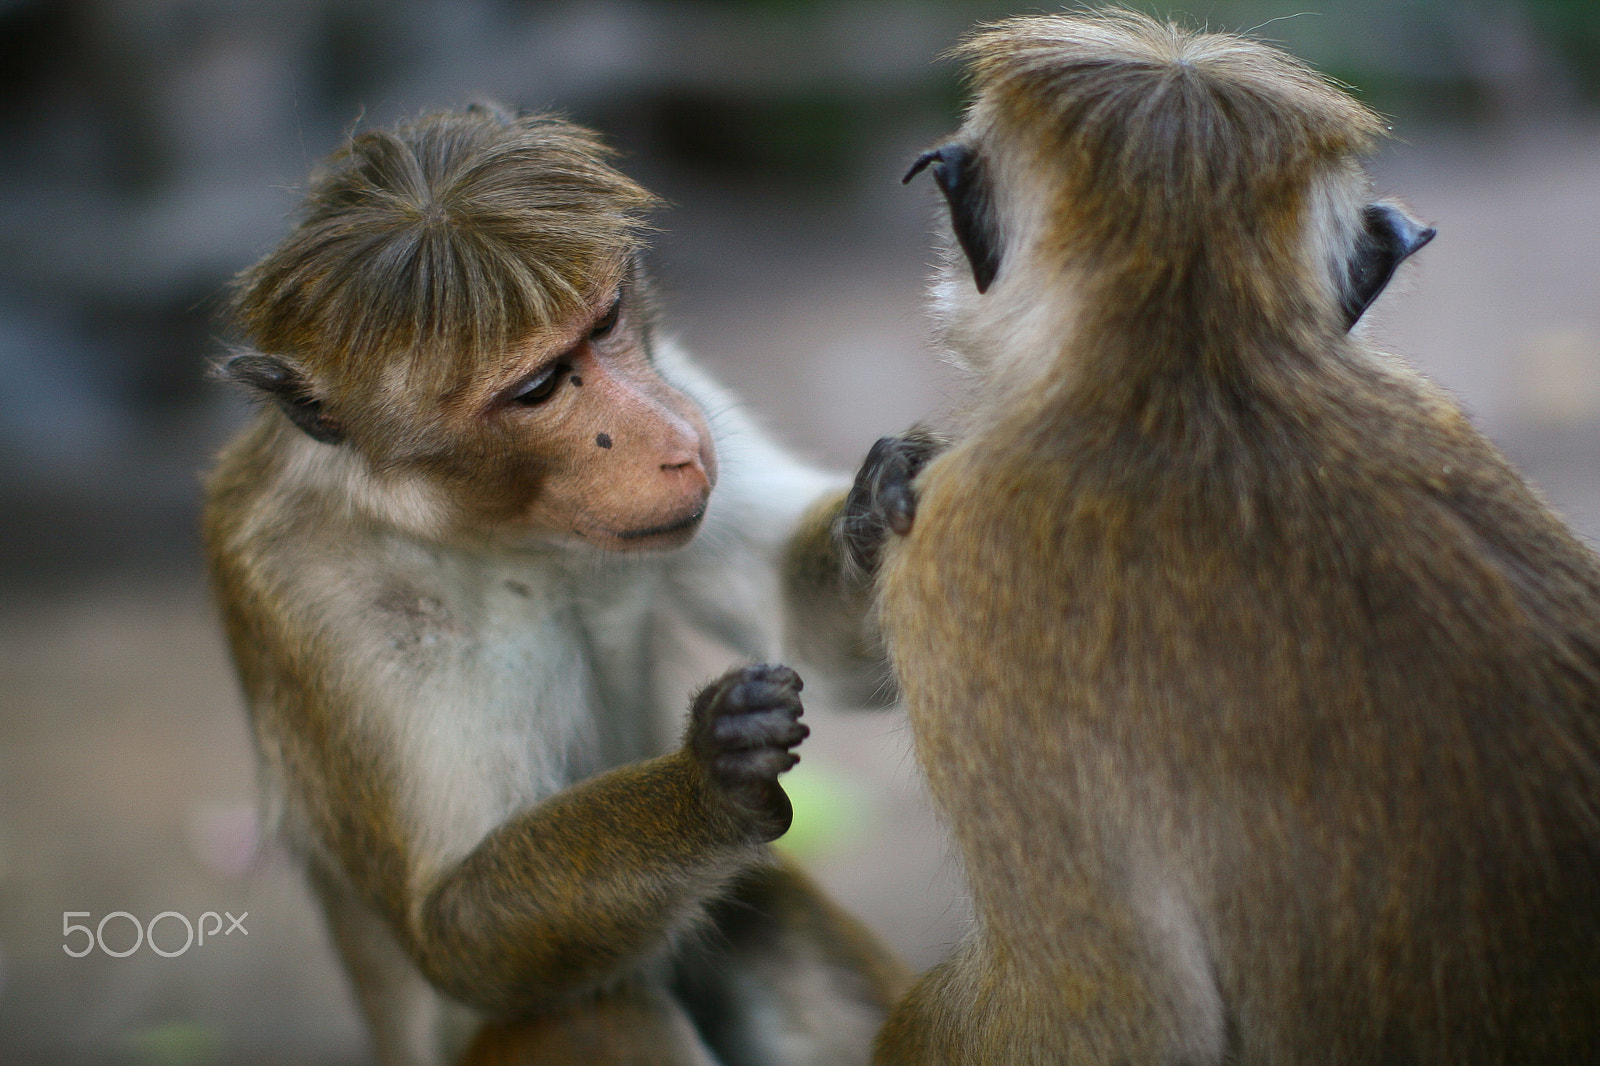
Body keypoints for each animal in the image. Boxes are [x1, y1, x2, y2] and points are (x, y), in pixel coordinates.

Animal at [201, 105, 908, 1062]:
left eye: (605, 322)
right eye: (539, 386)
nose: (677, 442)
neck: (498, 536)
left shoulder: (671, 369)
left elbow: (803, 638)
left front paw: (886, 498)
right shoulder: (315, 592)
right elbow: (452, 935)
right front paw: (708, 780)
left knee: (759, 916)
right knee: (599, 1006)